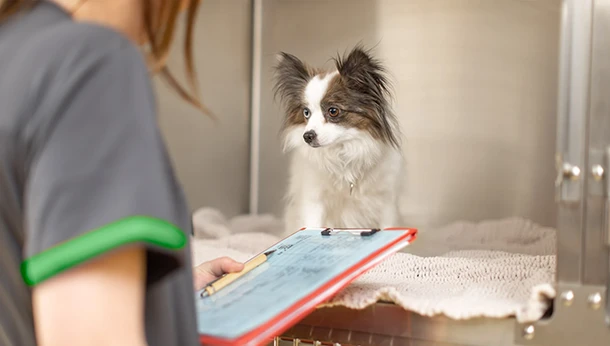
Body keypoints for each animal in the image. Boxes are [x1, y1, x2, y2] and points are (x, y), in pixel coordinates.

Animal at [270, 44, 404, 234]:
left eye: (333, 111)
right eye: (306, 113)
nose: (307, 136)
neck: (344, 153)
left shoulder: (386, 202)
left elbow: (388, 227)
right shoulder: (314, 201)